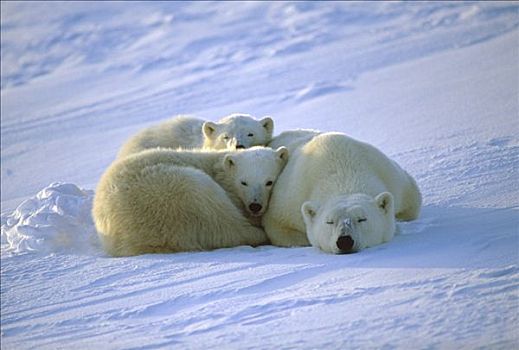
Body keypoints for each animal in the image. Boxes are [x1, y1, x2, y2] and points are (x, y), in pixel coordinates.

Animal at [264, 131, 422, 254]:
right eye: (329, 221)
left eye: (362, 219)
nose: (344, 241)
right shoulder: (291, 198)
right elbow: (278, 226)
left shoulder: (392, 177)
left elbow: (412, 204)